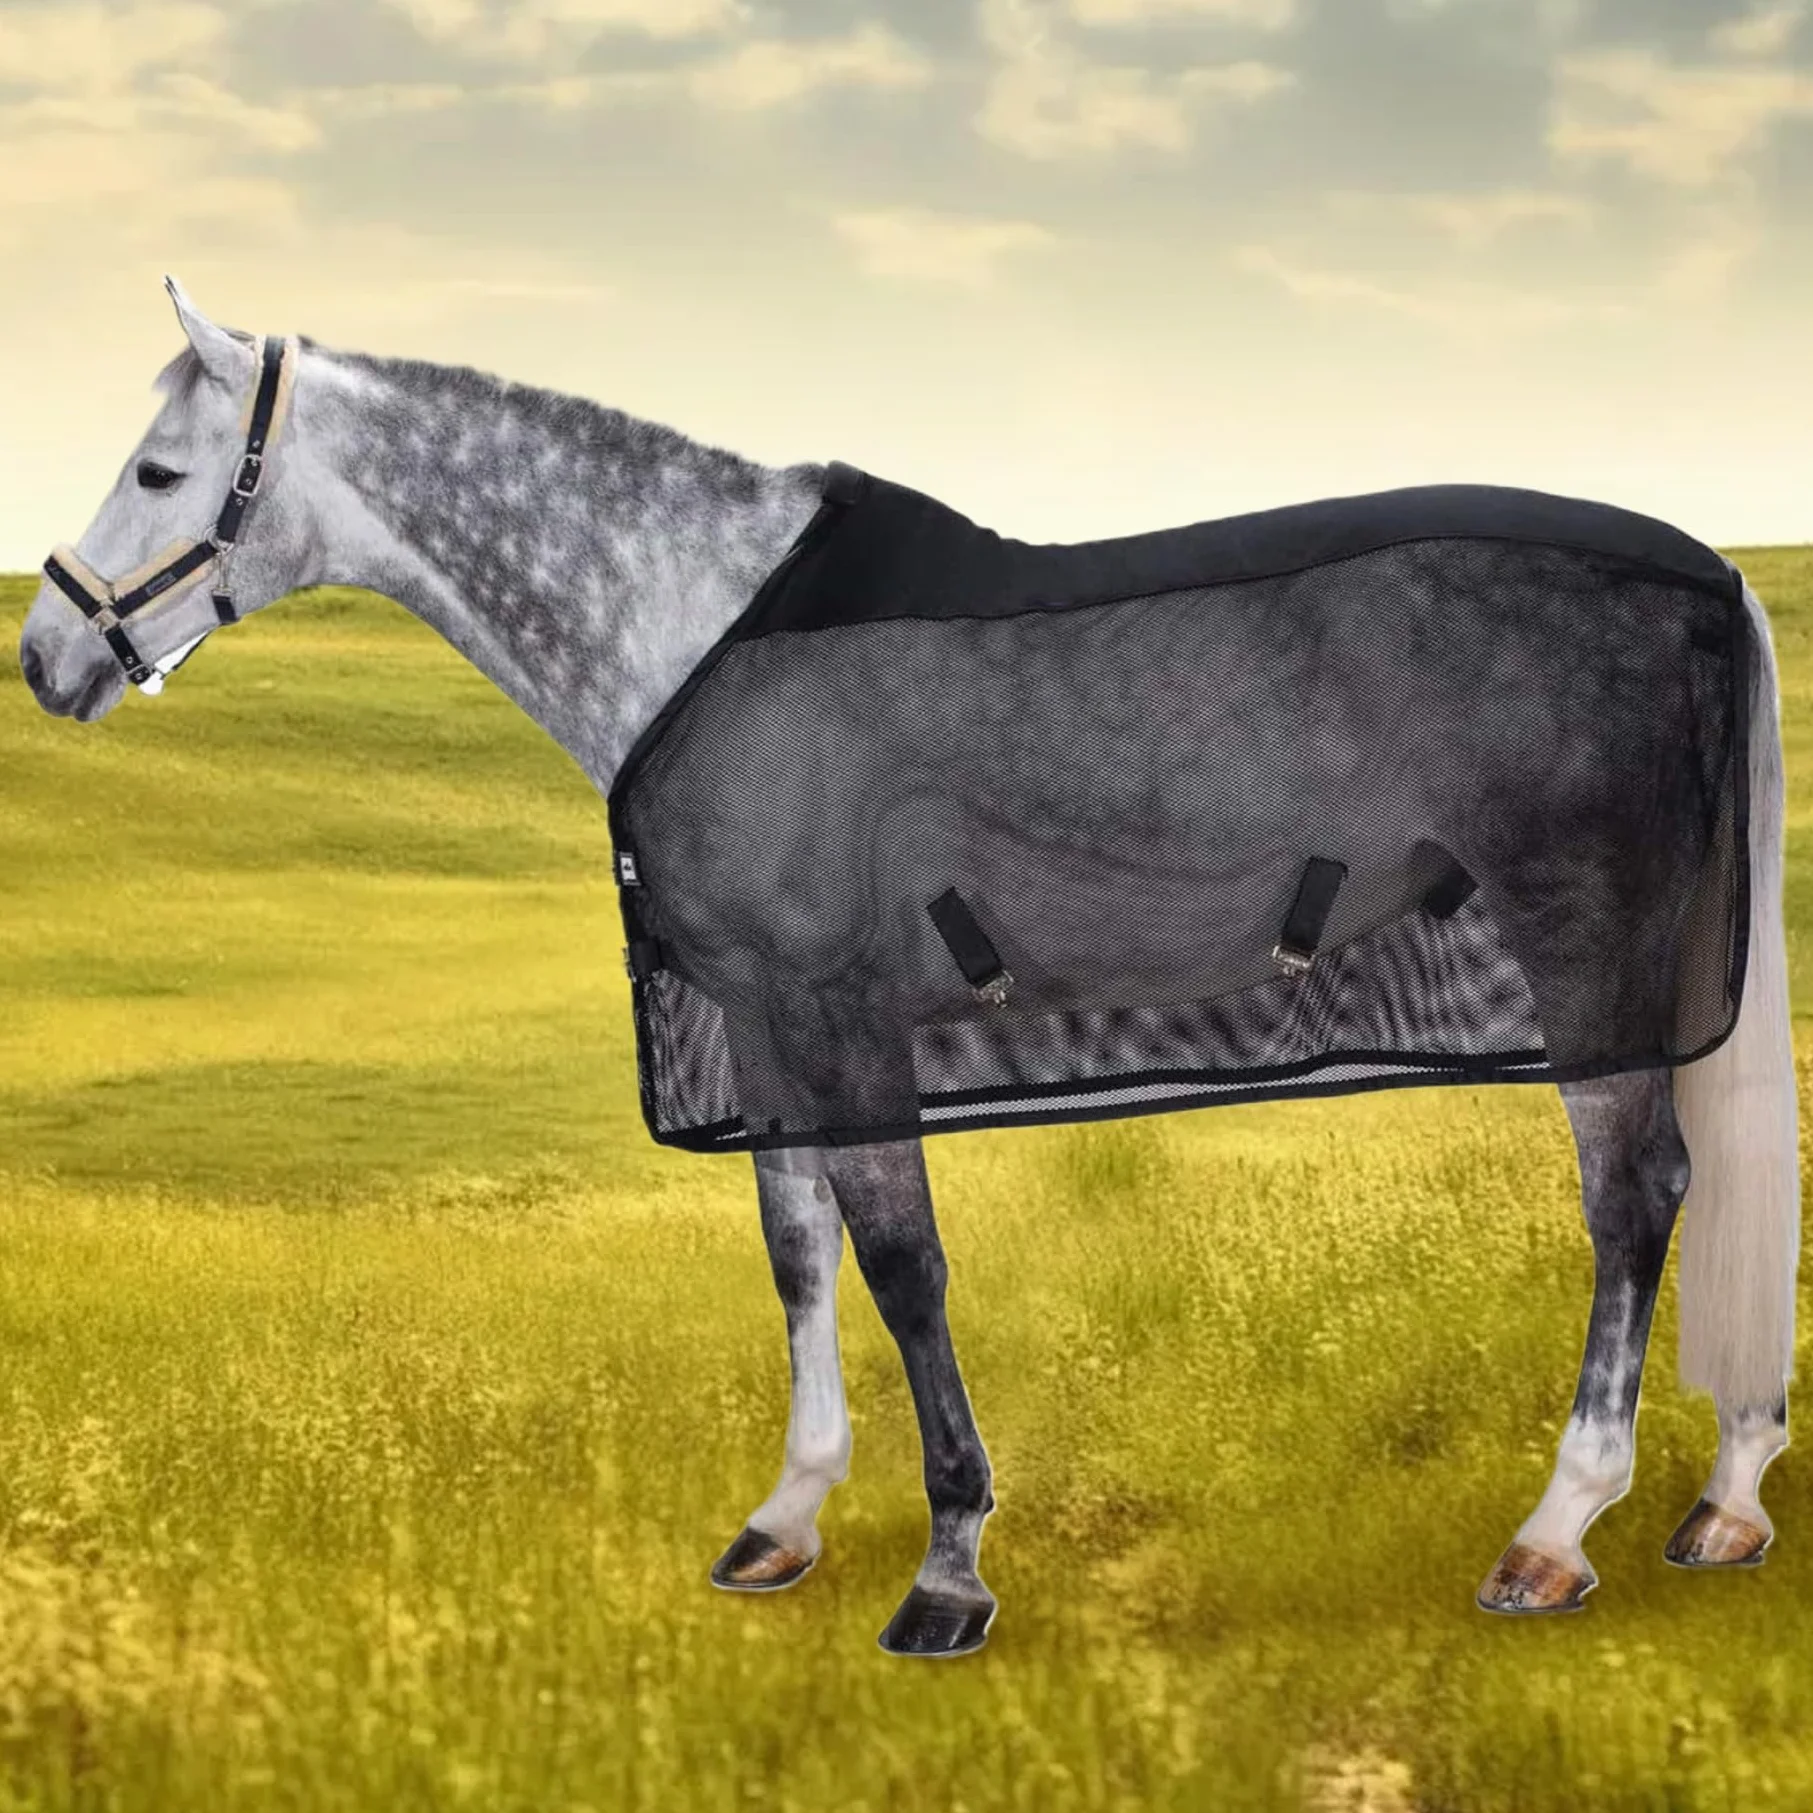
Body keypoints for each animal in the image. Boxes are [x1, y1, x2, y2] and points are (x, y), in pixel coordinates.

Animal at [18, 277, 1798, 1659]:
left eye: (162, 465)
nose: (44, 657)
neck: (696, 629)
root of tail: (1707, 572)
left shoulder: (838, 1010)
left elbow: (900, 1265)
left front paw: (948, 1570)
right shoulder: (764, 1025)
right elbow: (798, 1252)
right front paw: (787, 1516)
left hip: (1585, 937)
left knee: (1635, 1192)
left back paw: (1558, 1529)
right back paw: (1720, 1502)